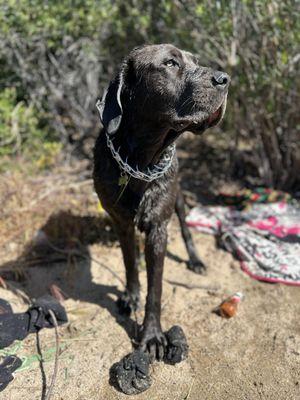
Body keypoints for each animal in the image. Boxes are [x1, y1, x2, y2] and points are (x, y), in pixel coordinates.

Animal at [94, 44, 230, 362]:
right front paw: (130, 295)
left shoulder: (158, 229)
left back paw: (195, 260)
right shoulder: (120, 222)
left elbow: (154, 289)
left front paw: (152, 336)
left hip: (178, 197)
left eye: (196, 61)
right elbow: (130, 263)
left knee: (186, 228)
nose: (225, 79)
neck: (140, 162)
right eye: (170, 63)